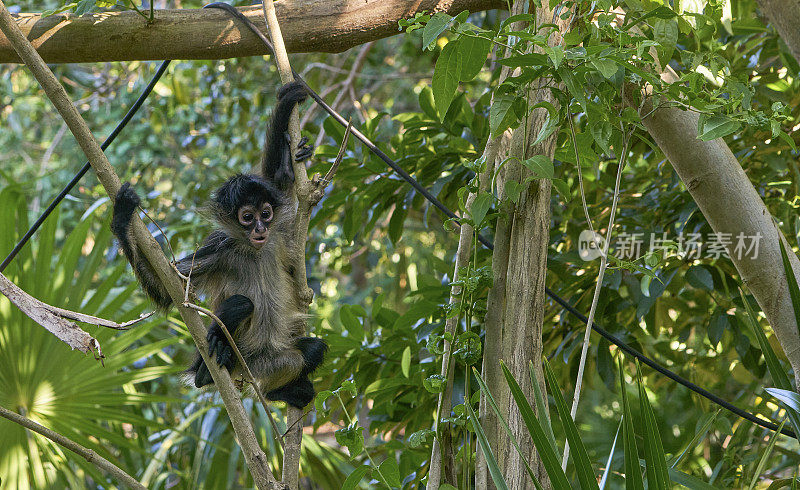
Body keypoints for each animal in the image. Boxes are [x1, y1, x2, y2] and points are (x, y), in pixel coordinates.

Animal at [111, 82, 326, 408]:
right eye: (247, 217)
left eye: (265, 213)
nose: (260, 228)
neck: (254, 250)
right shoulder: (220, 247)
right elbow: (168, 292)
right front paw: (123, 218)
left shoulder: (278, 234)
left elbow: (279, 181)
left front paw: (290, 147)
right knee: (242, 303)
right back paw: (207, 369)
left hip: (269, 361)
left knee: (312, 350)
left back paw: (279, 391)